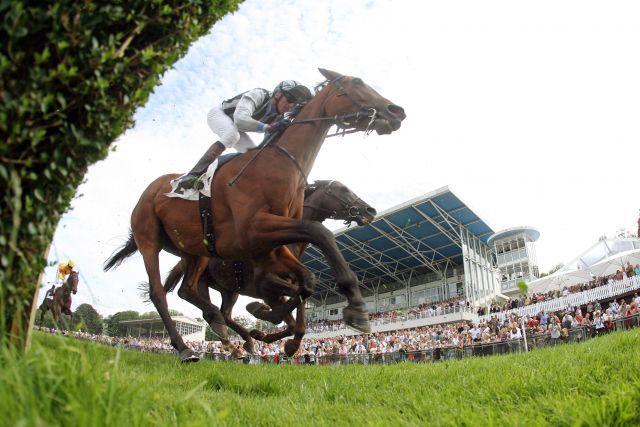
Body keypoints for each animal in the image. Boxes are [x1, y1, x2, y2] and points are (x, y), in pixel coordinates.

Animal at [162, 181, 378, 358]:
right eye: (343, 189)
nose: (370, 209)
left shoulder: (278, 291)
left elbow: (295, 315)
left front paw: (277, 339)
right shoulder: (267, 286)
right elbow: (295, 301)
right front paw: (261, 313)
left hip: (229, 290)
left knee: (225, 313)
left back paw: (245, 341)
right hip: (203, 280)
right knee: (200, 303)